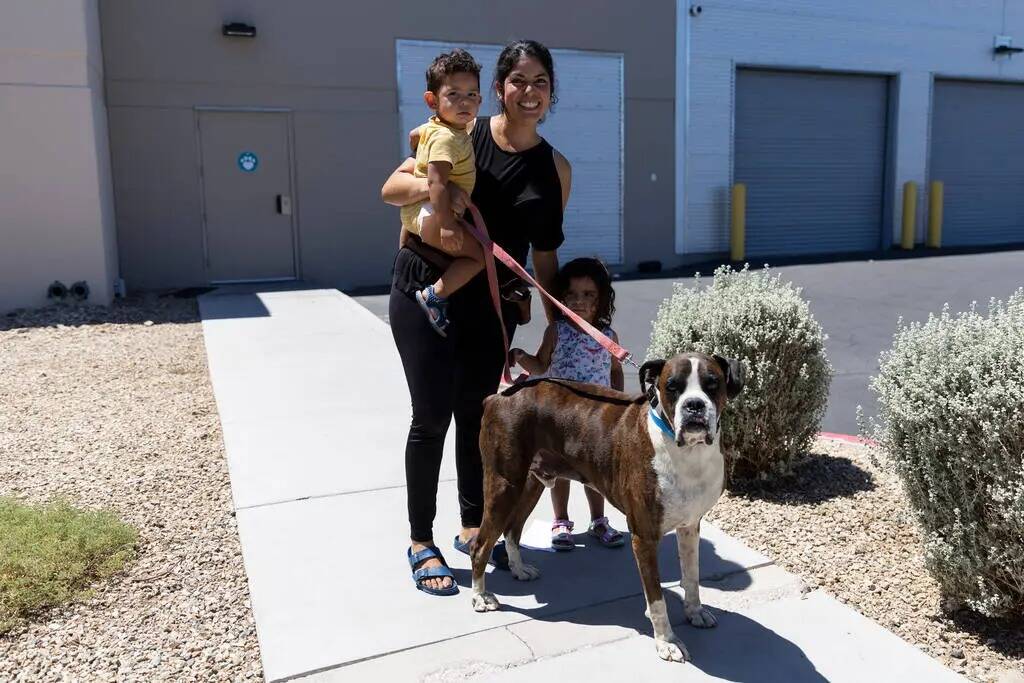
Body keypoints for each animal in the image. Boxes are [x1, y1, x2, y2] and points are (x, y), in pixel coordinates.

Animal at [468, 352, 745, 663]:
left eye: (713, 384)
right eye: (672, 386)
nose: (694, 405)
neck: (688, 453)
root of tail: (499, 396)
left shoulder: (690, 527)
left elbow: (692, 577)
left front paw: (695, 612)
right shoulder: (644, 538)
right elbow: (657, 598)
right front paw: (666, 641)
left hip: (530, 485)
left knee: (513, 530)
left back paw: (518, 569)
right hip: (504, 487)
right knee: (480, 545)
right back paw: (480, 596)